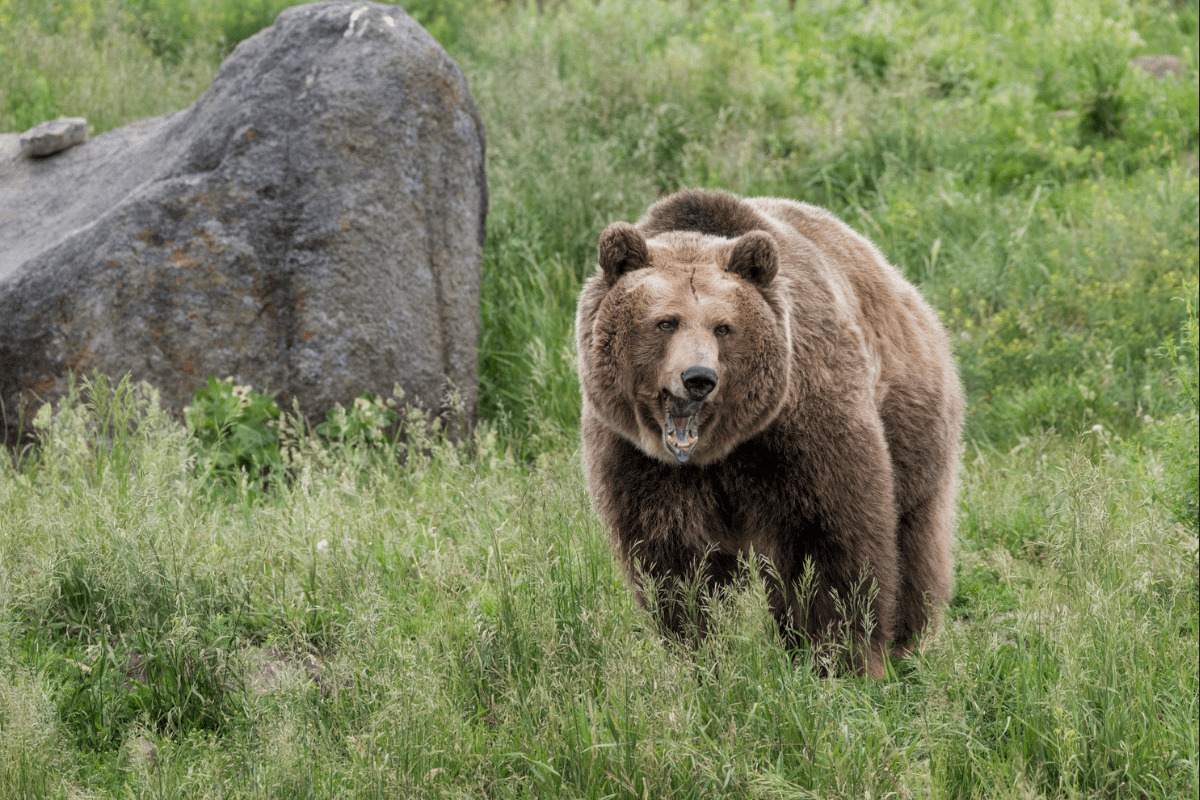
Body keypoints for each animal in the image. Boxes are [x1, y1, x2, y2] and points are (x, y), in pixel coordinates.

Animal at [575, 190, 963, 677]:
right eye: (665, 322)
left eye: (723, 326)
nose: (698, 378)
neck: (718, 451)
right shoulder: (638, 459)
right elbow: (676, 563)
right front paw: (699, 653)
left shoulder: (802, 428)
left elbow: (828, 541)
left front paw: (839, 658)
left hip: (913, 423)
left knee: (914, 538)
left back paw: (907, 641)